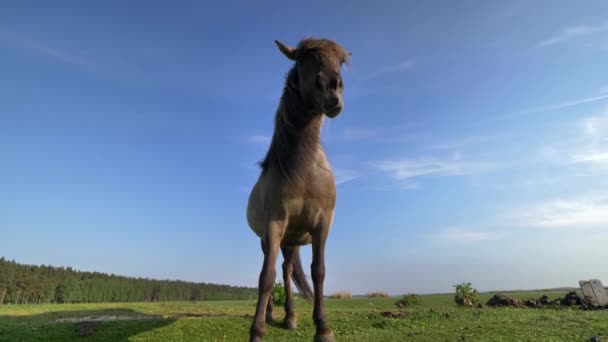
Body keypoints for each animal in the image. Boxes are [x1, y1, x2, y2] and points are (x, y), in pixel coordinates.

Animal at [247, 36, 352, 340]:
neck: (304, 171)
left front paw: (323, 327)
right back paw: (273, 315)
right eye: (305, 59)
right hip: (273, 239)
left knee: (287, 269)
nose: (333, 90)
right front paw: (256, 330)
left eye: (341, 60)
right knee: (276, 270)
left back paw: (290, 317)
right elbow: (265, 276)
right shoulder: (274, 224)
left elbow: (319, 272)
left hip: (292, 242)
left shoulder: (322, 224)